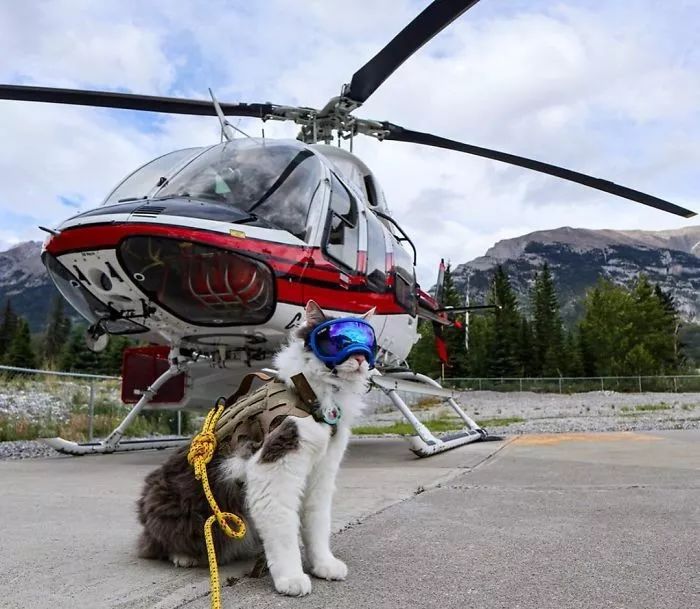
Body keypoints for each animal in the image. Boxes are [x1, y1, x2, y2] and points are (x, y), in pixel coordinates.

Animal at [138, 300, 378, 592]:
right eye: (337, 340)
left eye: (368, 343)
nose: (360, 358)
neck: (313, 397)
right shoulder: (275, 467)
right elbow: (283, 528)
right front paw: (291, 578)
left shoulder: (322, 473)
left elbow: (317, 524)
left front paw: (324, 565)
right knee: (158, 544)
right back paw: (184, 556)